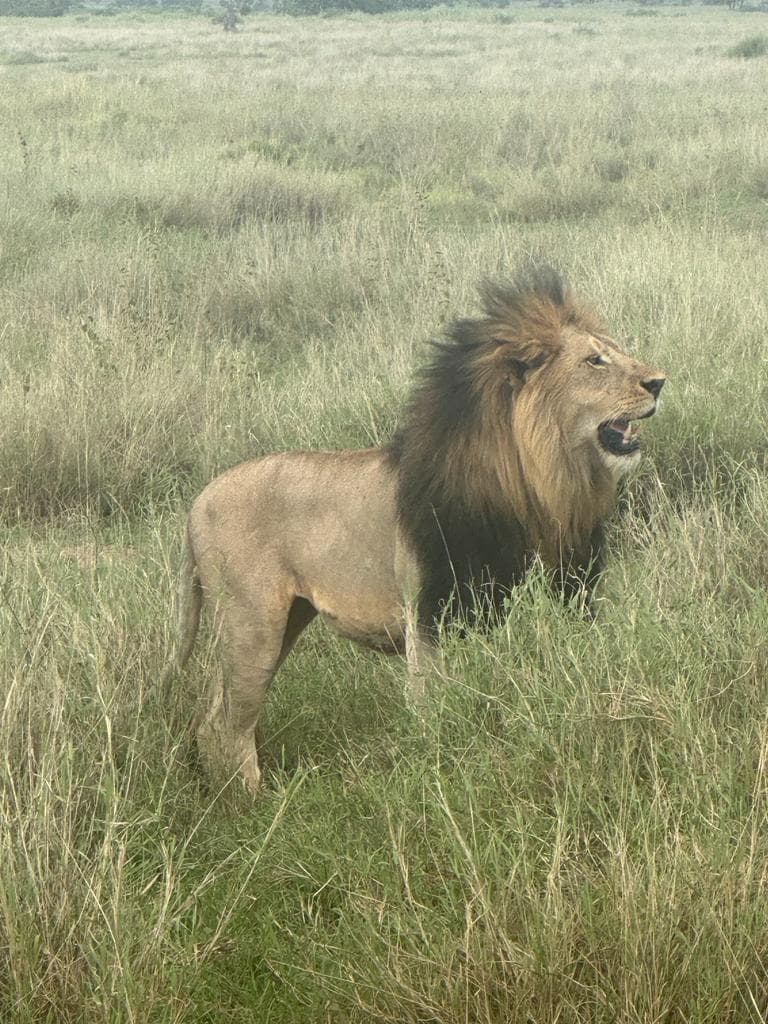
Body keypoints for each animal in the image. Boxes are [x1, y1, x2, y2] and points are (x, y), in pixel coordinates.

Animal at [163, 264, 667, 790]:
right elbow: (435, 710)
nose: (659, 382)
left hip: (285, 621)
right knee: (228, 722)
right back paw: (252, 798)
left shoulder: (569, 593)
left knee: (211, 717)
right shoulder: (432, 613)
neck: (540, 487)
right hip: (252, 623)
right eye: (595, 360)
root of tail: (197, 502)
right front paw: (443, 770)